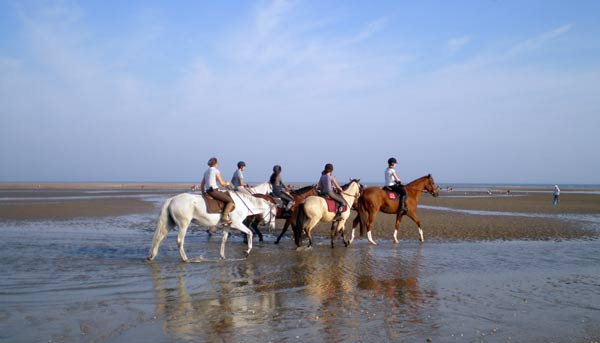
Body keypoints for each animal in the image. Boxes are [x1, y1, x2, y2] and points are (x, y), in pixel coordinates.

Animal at [146, 191, 278, 264]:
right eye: (274, 214)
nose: (271, 228)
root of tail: (171, 200)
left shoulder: (227, 226)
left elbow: (224, 240)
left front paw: (222, 256)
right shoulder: (237, 224)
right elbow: (249, 233)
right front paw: (247, 251)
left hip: (170, 224)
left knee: (159, 238)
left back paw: (152, 256)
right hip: (184, 225)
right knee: (179, 241)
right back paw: (185, 259)